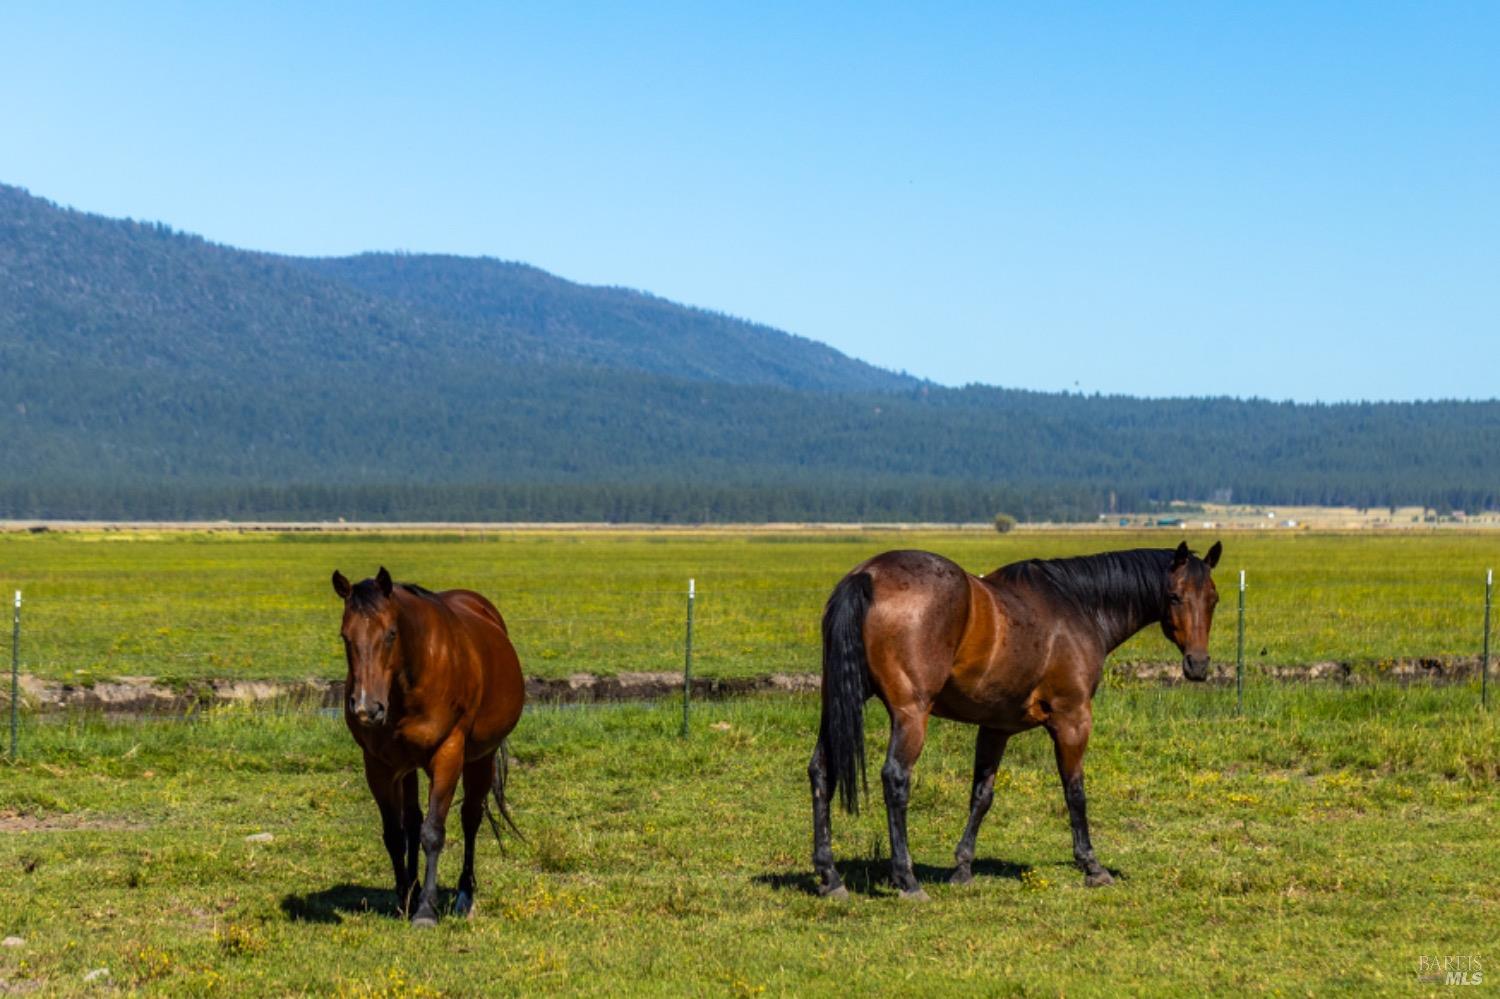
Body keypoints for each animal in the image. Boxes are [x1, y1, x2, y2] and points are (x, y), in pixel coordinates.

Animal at [334, 564, 528, 924]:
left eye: (391, 634)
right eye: (344, 636)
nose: (367, 708)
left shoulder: (448, 754)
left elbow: (433, 832)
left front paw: (425, 909)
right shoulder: (379, 764)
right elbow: (395, 833)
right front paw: (404, 898)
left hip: (479, 758)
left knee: (470, 817)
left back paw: (464, 895)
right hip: (407, 766)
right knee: (411, 820)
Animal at [810, 540, 1218, 900]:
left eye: (1212, 598)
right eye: (1174, 597)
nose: (1198, 665)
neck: (1077, 607)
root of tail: (868, 575)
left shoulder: (996, 727)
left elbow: (981, 795)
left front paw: (962, 868)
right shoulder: (1073, 719)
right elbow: (1075, 792)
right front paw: (1092, 866)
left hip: (838, 703)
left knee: (822, 771)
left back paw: (830, 877)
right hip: (911, 714)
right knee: (895, 779)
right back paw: (907, 880)